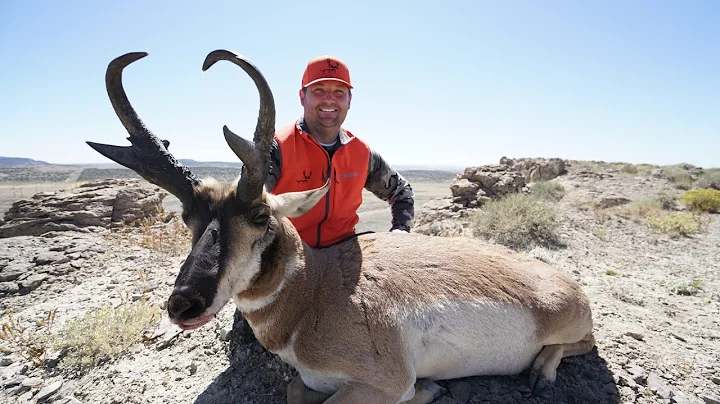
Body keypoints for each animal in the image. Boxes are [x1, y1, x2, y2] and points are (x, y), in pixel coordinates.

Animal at [87, 50, 596, 404]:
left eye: (260, 216)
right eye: (187, 217)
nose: (183, 304)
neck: (314, 289)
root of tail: (567, 284)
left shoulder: (386, 382)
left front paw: (428, 390)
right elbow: (296, 389)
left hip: (566, 326)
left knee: (581, 344)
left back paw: (541, 373)